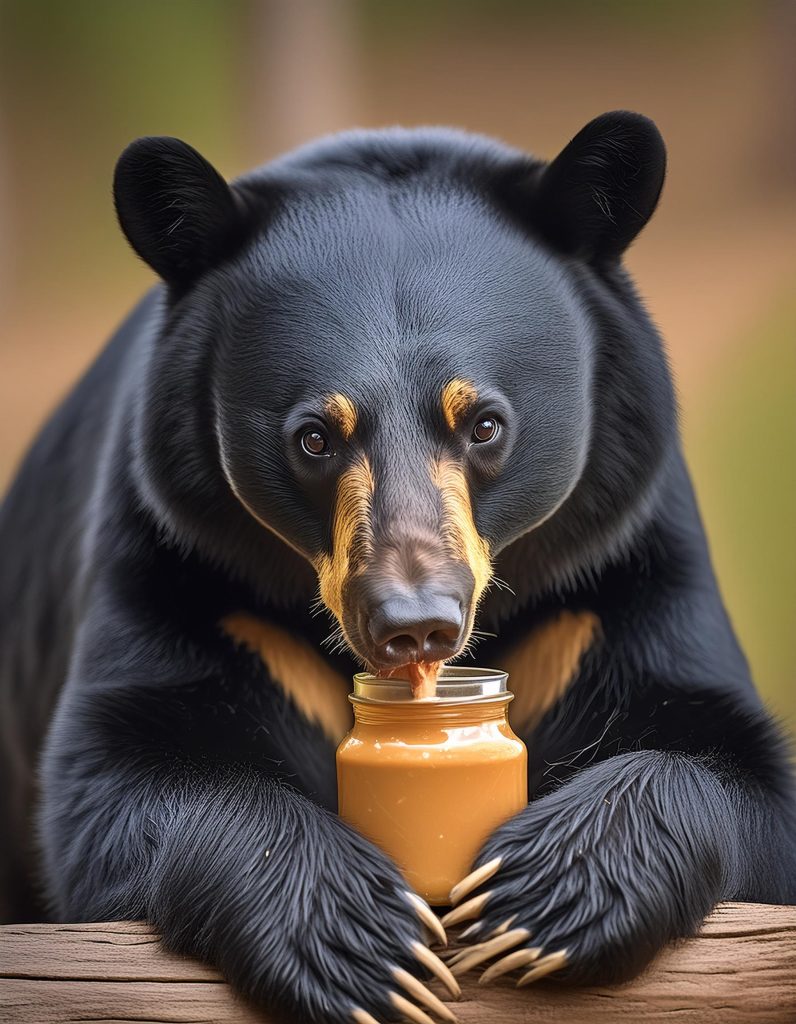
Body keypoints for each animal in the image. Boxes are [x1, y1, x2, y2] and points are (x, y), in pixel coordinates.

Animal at [0, 112, 790, 1024]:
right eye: (314, 437)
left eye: (484, 425)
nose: (414, 628)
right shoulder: (174, 556)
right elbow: (113, 777)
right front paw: (359, 937)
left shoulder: (622, 559)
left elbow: (730, 761)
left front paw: (537, 899)